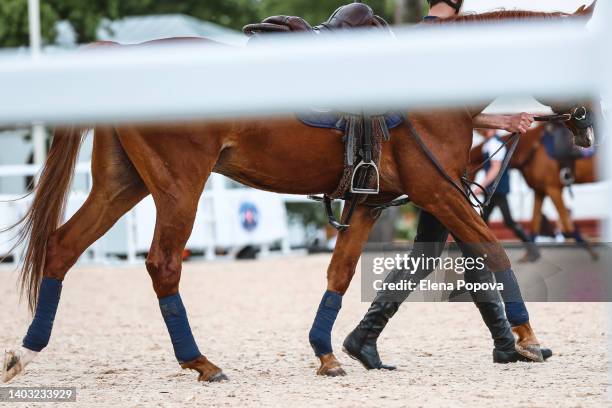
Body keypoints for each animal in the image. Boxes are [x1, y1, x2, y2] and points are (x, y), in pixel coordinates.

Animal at [3, 5, 596, 382]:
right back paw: (200, 362)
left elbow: (340, 273)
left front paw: (332, 353)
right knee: (163, 265)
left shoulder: (369, 202)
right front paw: (525, 339)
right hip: (178, 189)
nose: (589, 128)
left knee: (62, 247)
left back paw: (27, 352)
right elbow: (492, 252)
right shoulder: (438, 193)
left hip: (121, 185)